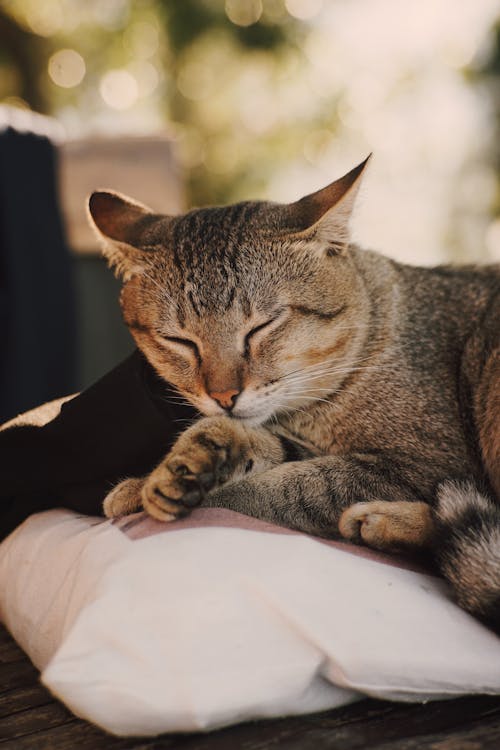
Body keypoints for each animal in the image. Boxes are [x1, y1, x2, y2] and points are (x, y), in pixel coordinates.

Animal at [88, 159, 498, 636]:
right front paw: (183, 465)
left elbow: (280, 490)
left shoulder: (427, 463)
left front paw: (148, 491)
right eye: (180, 341)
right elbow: (266, 450)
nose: (223, 395)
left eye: (261, 327)